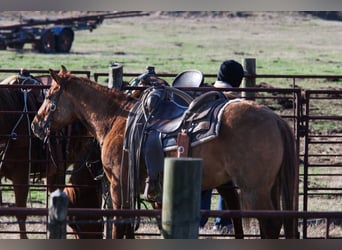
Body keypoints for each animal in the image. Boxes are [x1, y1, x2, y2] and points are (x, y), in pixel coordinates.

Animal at [32, 66, 300, 238]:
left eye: (49, 96)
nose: (36, 124)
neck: (115, 118)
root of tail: (276, 119)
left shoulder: (119, 183)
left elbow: (121, 223)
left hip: (255, 190)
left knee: (270, 225)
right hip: (268, 187)